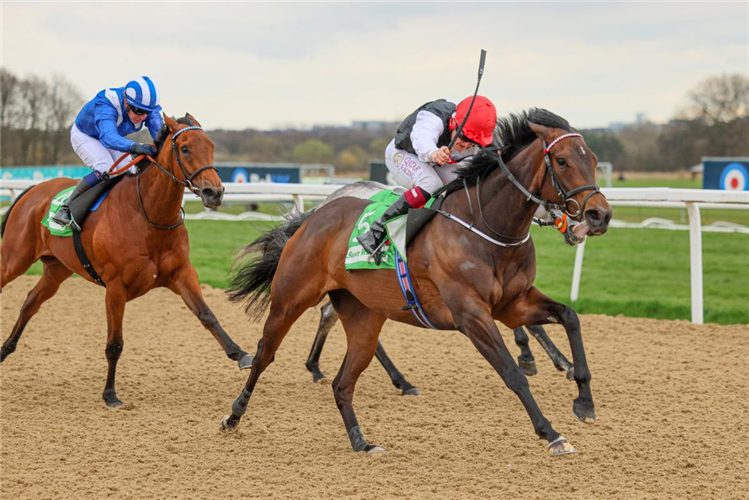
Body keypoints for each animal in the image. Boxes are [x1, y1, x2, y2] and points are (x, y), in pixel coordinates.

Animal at [0, 112, 253, 406]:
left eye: (210, 146)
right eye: (185, 148)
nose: (215, 192)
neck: (149, 216)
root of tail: (31, 190)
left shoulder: (181, 273)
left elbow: (207, 315)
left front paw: (240, 354)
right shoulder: (116, 286)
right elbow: (115, 343)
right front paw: (110, 394)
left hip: (57, 269)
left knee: (30, 303)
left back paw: (4, 350)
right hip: (15, 259)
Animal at [221, 109, 608, 458]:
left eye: (592, 160)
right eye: (561, 160)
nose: (598, 216)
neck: (485, 226)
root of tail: (315, 215)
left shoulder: (514, 304)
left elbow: (569, 317)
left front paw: (583, 400)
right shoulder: (472, 315)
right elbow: (512, 373)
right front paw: (551, 432)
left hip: (364, 316)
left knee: (342, 380)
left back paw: (363, 440)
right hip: (289, 300)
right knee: (264, 354)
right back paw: (234, 415)